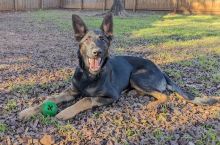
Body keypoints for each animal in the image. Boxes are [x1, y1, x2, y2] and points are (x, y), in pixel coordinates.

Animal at [18, 13, 218, 120]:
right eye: (87, 40)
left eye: (103, 39)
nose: (97, 52)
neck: (90, 76)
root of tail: (160, 70)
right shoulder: (70, 92)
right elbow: (50, 99)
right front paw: (29, 111)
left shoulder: (110, 96)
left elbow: (86, 99)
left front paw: (65, 112)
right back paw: (133, 94)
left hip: (137, 76)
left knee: (164, 95)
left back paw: (151, 104)